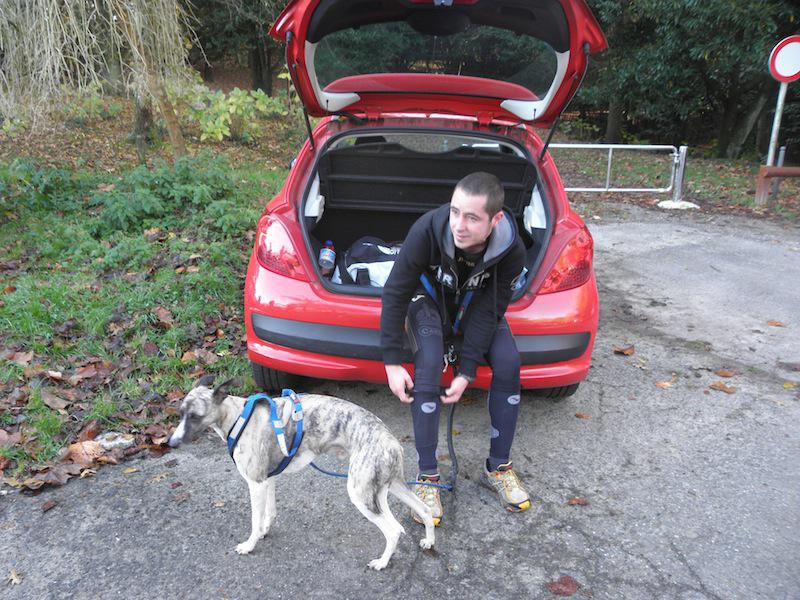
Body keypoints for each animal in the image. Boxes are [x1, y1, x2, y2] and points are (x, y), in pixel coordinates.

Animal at [167, 376, 435, 570]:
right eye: (180, 414)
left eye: (195, 416)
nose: (171, 443)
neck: (238, 418)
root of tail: (392, 442)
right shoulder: (268, 481)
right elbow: (269, 514)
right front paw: (264, 532)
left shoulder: (255, 484)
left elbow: (255, 520)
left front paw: (250, 545)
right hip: (391, 486)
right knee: (425, 509)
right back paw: (429, 540)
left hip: (361, 493)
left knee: (394, 530)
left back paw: (381, 563)